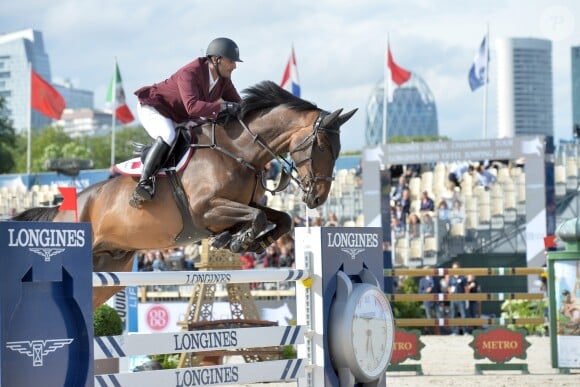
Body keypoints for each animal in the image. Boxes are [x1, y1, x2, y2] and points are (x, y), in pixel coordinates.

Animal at [12, 80, 358, 310]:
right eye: (321, 146)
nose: (317, 198)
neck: (237, 150)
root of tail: (60, 210)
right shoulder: (207, 210)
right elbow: (258, 216)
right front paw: (237, 240)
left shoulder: (241, 205)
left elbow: (280, 219)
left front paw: (244, 241)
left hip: (112, 265)